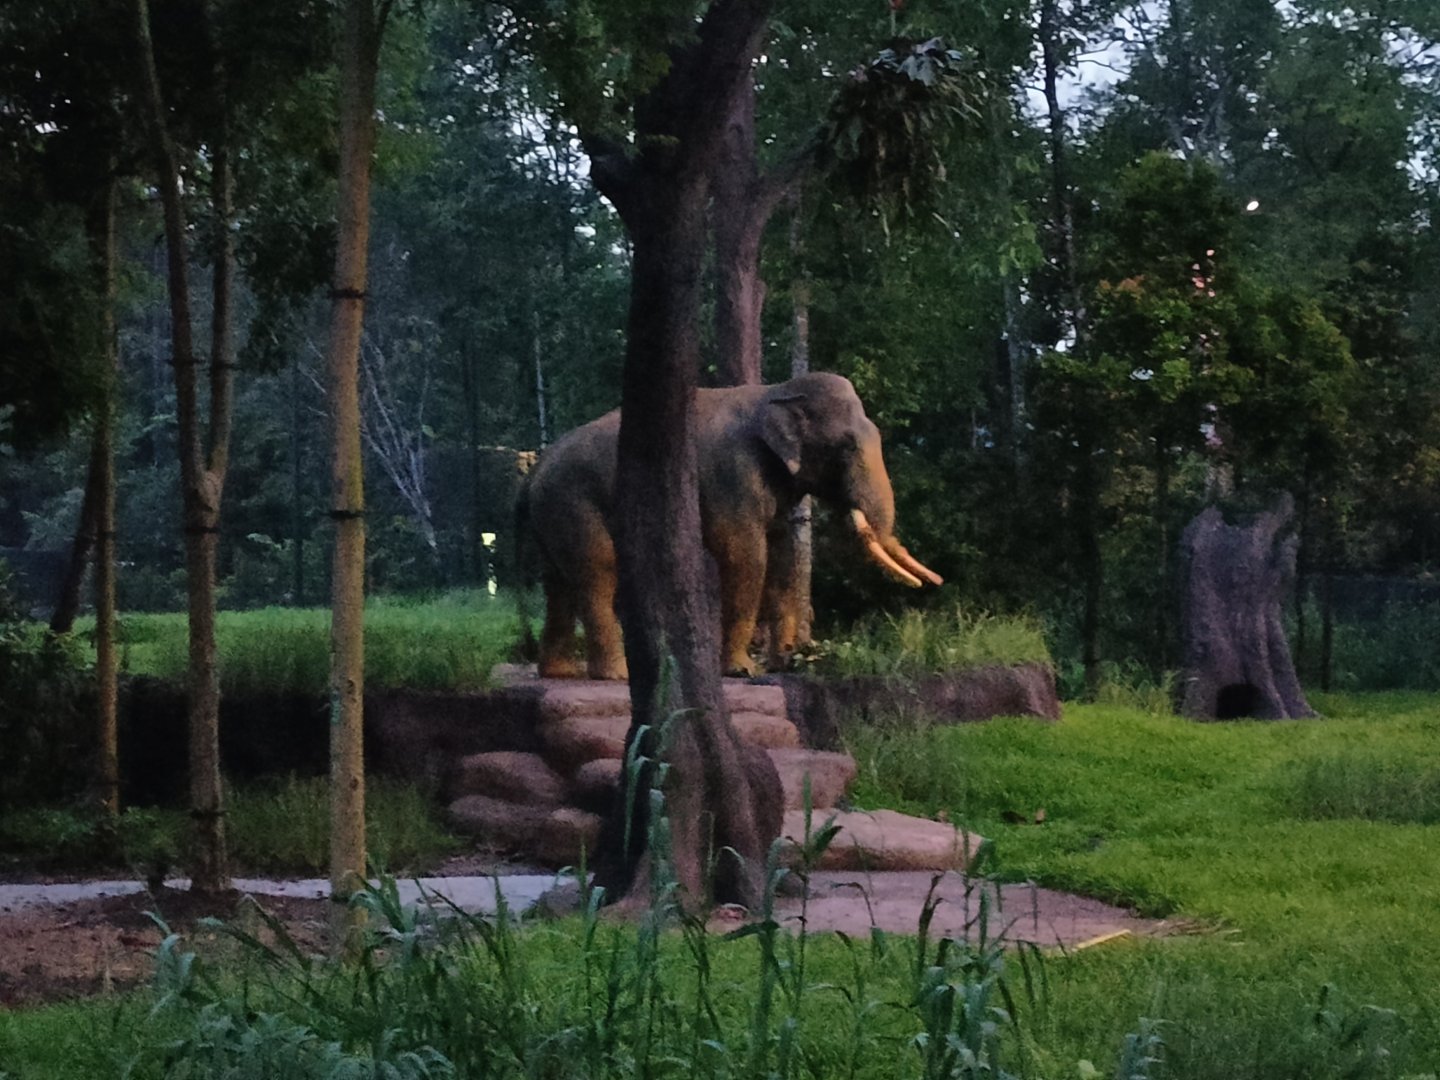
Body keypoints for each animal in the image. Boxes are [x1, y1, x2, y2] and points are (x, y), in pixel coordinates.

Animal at [519, 371, 942, 680]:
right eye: (847, 446)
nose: (933, 583)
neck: (776, 391)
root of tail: (535, 468)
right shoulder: (733, 470)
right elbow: (744, 552)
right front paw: (743, 671)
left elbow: (781, 552)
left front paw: (782, 664)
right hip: (574, 503)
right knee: (598, 573)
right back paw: (615, 676)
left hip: (551, 516)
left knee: (559, 585)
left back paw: (560, 672)